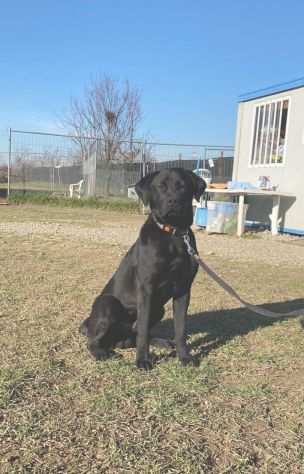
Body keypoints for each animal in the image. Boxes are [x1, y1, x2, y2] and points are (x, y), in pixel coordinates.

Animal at [79, 168, 205, 370]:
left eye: (183, 186)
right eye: (161, 186)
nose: (173, 201)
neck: (173, 236)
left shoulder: (183, 290)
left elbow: (180, 329)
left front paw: (184, 357)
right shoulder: (146, 289)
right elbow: (144, 330)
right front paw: (142, 360)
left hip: (158, 309)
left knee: (133, 334)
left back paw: (160, 342)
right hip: (108, 303)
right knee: (95, 340)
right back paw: (101, 352)